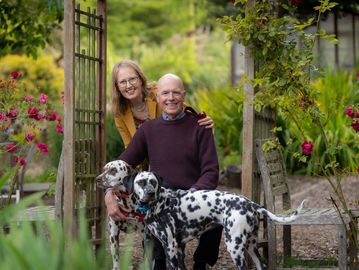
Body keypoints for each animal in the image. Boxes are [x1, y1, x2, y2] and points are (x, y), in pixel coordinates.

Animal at [124, 172, 306, 268]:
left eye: (153, 182)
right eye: (141, 182)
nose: (150, 193)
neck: (160, 204)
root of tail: (250, 203)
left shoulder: (171, 248)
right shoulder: (177, 248)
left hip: (234, 247)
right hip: (251, 247)